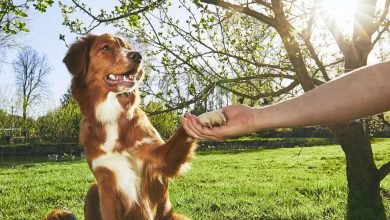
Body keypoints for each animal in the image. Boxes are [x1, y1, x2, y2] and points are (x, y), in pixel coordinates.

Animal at [46, 33, 227, 220]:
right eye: (105, 47)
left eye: (127, 47)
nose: (138, 56)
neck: (113, 117)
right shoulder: (106, 184)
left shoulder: (160, 160)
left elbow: (183, 129)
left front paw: (208, 116)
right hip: (93, 189)